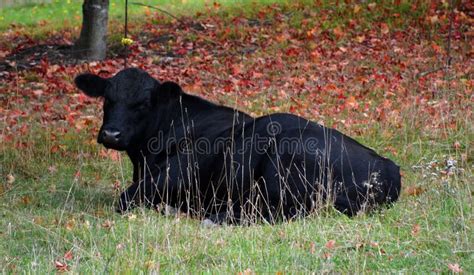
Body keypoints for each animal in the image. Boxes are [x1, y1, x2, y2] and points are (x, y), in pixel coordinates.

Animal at [74, 68, 400, 225]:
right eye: (107, 99)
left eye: (143, 103)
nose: (111, 134)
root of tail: (387, 168)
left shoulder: (174, 175)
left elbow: (125, 199)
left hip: (282, 168)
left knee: (278, 213)